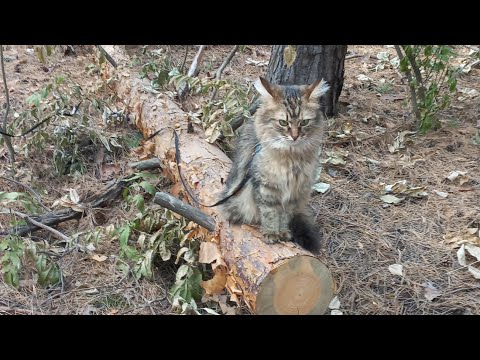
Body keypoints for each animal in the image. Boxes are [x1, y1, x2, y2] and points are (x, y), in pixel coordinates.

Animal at [221, 76, 330, 253]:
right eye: (283, 123)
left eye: (304, 123)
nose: (295, 137)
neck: (291, 157)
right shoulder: (266, 189)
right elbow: (270, 214)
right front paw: (272, 233)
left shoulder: (294, 192)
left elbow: (285, 216)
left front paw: (284, 233)